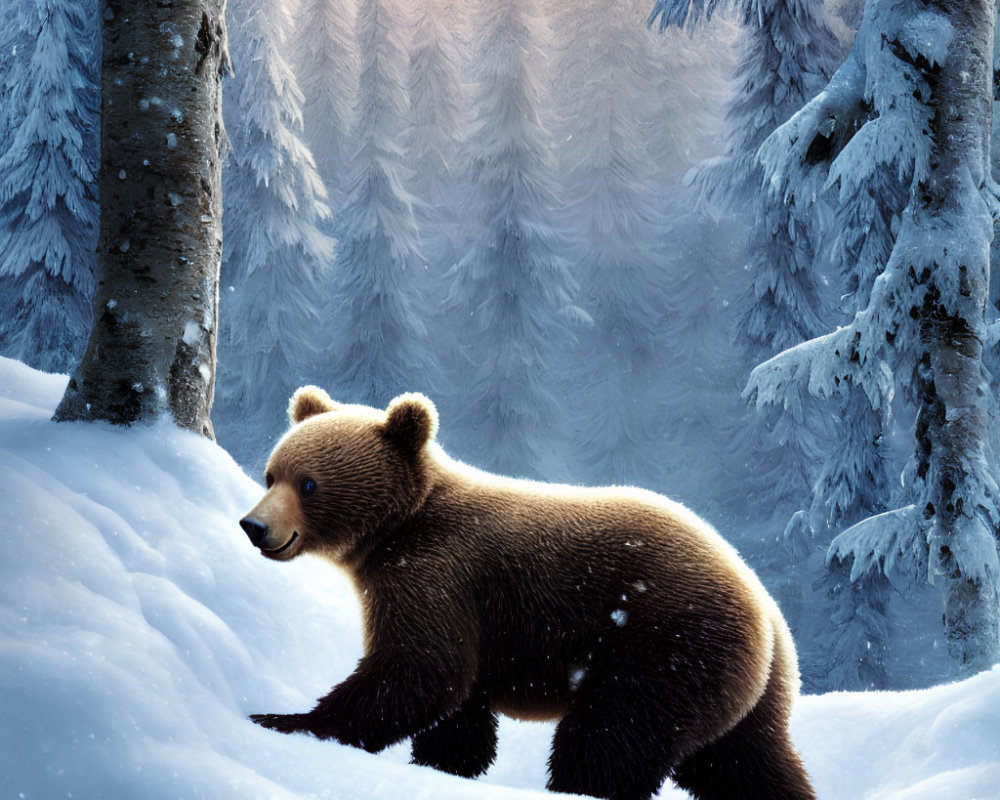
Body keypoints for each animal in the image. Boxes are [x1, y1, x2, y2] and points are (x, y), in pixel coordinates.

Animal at [244, 388, 820, 800]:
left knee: (609, 738)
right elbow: (459, 711)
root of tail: (764, 607)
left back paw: (575, 786)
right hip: (748, 689)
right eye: (271, 474)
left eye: (309, 483)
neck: (398, 529)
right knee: (747, 761)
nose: (255, 526)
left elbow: (420, 671)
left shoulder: (438, 574)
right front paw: (444, 764)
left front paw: (282, 720)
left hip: (665, 645)